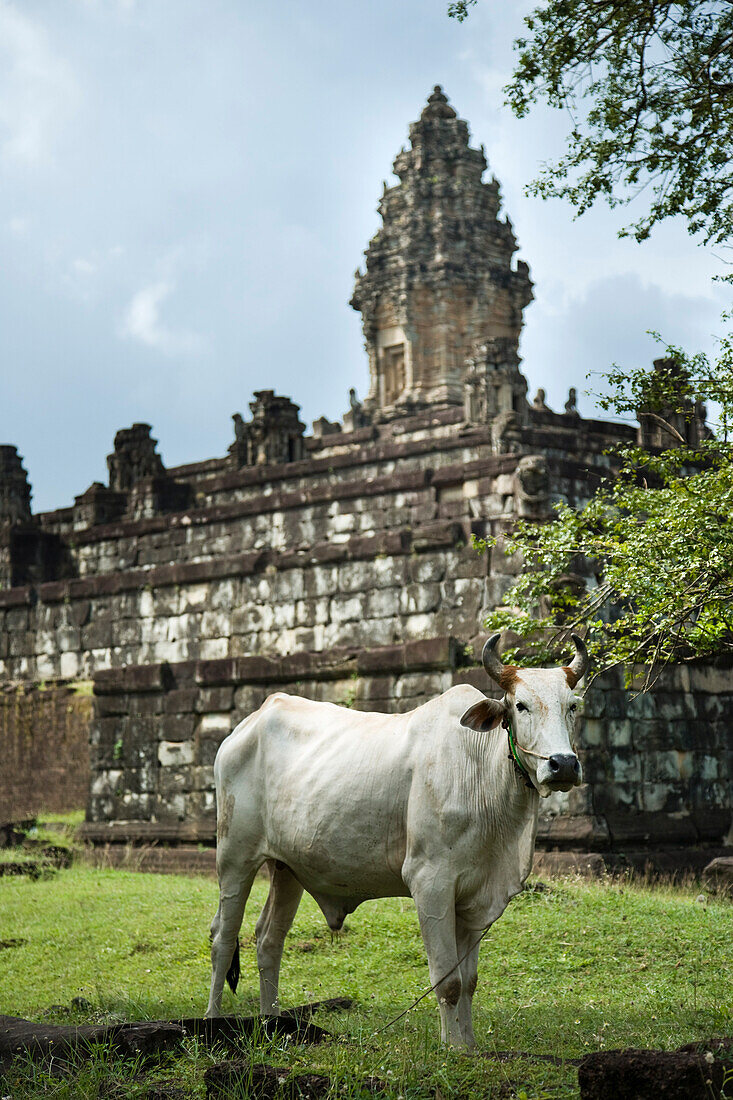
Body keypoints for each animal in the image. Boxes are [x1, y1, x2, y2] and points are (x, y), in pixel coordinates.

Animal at [206, 633, 589, 1042]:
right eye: (520, 705)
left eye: (572, 706)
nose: (564, 764)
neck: (481, 771)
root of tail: (247, 725)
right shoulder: (431, 883)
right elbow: (449, 982)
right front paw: (451, 1047)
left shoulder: (477, 897)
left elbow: (469, 982)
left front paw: (468, 1045)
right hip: (234, 855)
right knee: (223, 937)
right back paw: (212, 1023)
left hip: (288, 868)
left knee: (268, 940)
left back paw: (273, 1025)